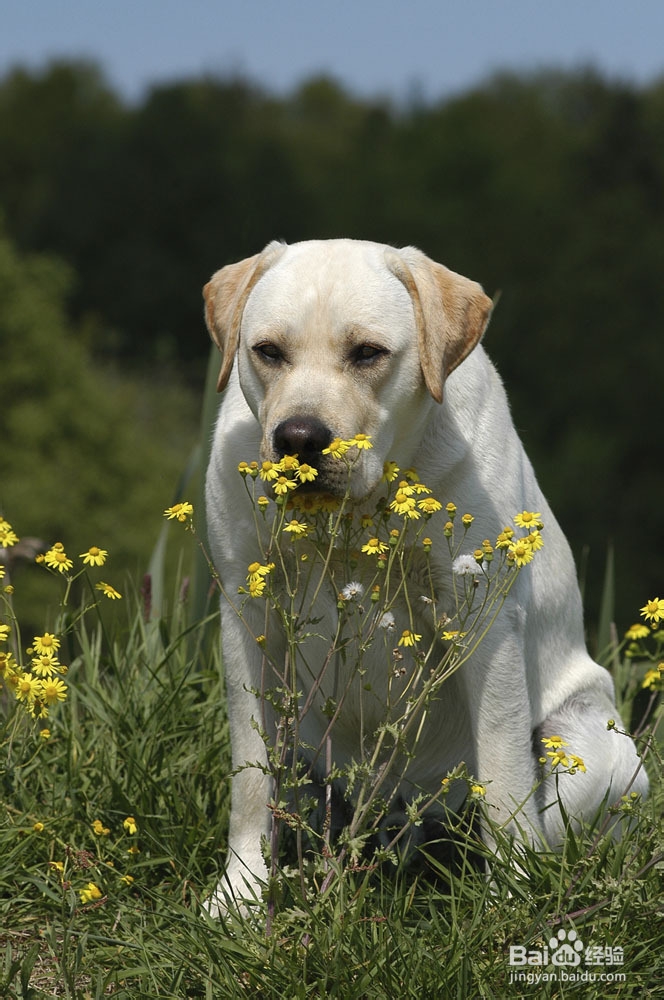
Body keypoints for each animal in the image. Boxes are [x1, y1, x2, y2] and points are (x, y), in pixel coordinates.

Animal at [204, 240, 648, 916]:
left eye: (368, 353)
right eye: (268, 351)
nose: (299, 437)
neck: (357, 516)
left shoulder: (484, 626)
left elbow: (503, 778)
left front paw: (510, 901)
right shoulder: (247, 617)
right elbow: (253, 788)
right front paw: (239, 899)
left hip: (591, 748)